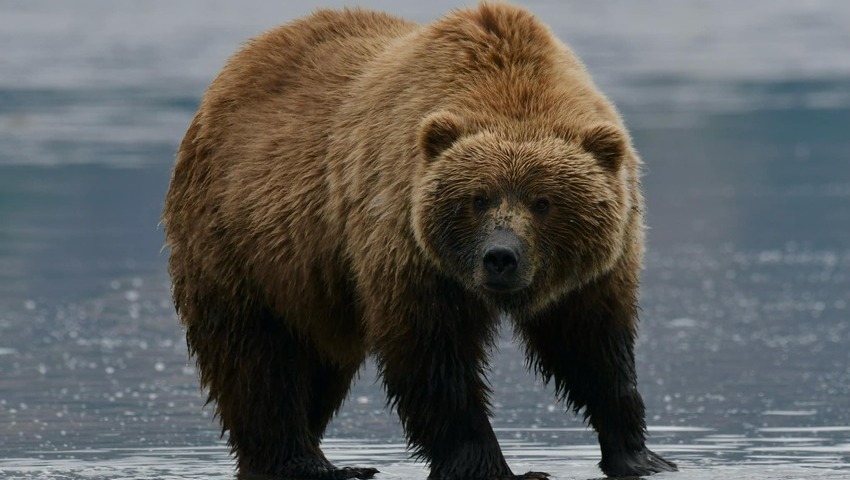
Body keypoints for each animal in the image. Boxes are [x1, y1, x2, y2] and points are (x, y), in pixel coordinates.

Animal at [161, 1, 676, 478]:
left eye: (543, 201)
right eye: (478, 198)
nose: (501, 257)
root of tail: (229, 74)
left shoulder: (595, 270)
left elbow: (594, 348)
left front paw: (641, 454)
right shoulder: (407, 245)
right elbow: (432, 358)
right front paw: (492, 464)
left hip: (312, 285)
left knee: (320, 361)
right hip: (240, 243)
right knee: (259, 361)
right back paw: (306, 462)